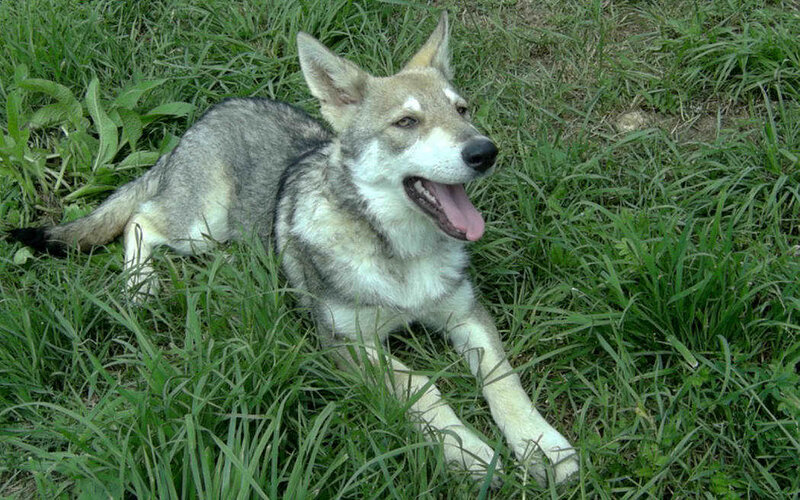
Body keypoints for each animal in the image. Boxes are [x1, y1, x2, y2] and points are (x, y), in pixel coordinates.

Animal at [10, 12, 579, 485]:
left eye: (463, 110)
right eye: (407, 123)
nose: (485, 151)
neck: (400, 254)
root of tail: (208, 116)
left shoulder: (467, 315)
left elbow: (504, 382)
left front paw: (542, 446)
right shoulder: (347, 344)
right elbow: (424, 389)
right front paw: (473, 452)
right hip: (200, 226)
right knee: (140, 219)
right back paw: (139, 286)